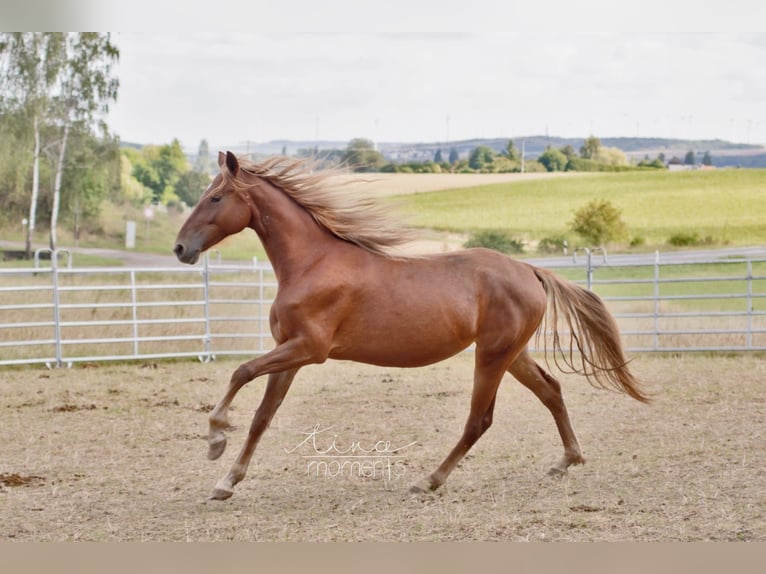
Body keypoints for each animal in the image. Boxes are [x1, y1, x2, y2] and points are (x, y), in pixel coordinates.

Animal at [174, 153, 648, 504]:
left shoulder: (309, 348)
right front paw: (226, 482)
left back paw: (428, 481)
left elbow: (241, 372)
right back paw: (567, 461)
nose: (180, 248)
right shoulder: (290, 353)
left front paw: (215, 438)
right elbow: (262, 416)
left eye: (216, 197)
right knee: (551, 390)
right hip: (512, 354)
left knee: (479, 420)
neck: (312, 264)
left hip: (491, 356)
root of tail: (529, 270)